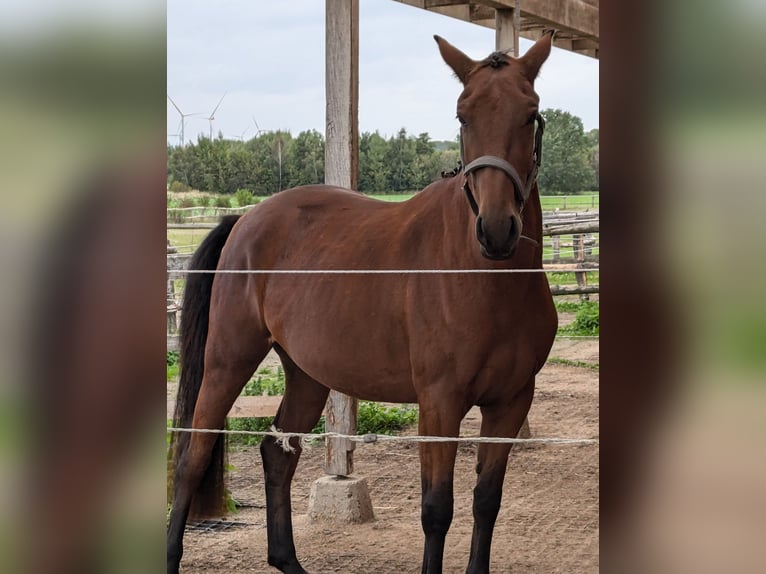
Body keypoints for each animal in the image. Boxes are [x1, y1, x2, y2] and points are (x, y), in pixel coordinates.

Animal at [170, 32, 560, 574]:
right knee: (193, 455)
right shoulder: (439, 404)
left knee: (278, 453)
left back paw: (288, 560)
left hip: (307, 373)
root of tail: (246, 219)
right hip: (229, 358)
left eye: (530, 113)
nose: (497, 228)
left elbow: (487, 502)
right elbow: (437, 509)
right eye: (463, 115)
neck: (487, 280)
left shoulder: (510, 403)